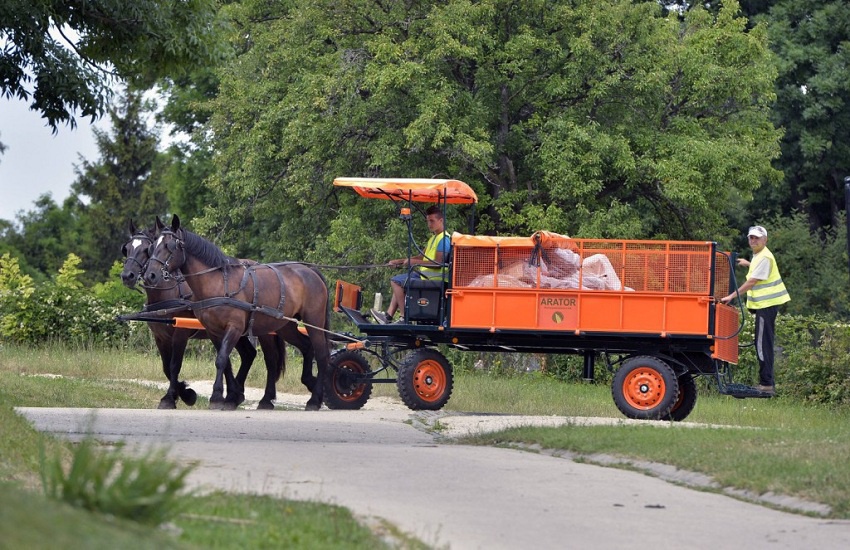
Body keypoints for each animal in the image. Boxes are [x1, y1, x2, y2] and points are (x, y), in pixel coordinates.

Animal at [121, 223, 284, 410]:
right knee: (248, 354)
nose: (127, 276)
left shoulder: (180, 333)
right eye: (126, 249)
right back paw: (236, 395)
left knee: (271, 360)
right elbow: (166, 367)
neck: (170, 291)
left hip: (264, 331)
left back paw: (265, 400)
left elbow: (174, 365)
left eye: (146, 249)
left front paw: (176, 398)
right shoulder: (160, 337)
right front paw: (184, 393)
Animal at [142, 218, 332, 412]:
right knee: (302, 348)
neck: (218, 283)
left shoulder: (233, 328)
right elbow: (225, 362)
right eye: (152, 247)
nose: (150, 275)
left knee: (321, 354)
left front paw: (217, 397)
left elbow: (220, 360)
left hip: (313, 320)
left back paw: (314, 399)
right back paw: (281, 394)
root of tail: (310, 270)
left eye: (170, 246)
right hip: (285, 326)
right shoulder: (213, 331)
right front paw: (228, 397)